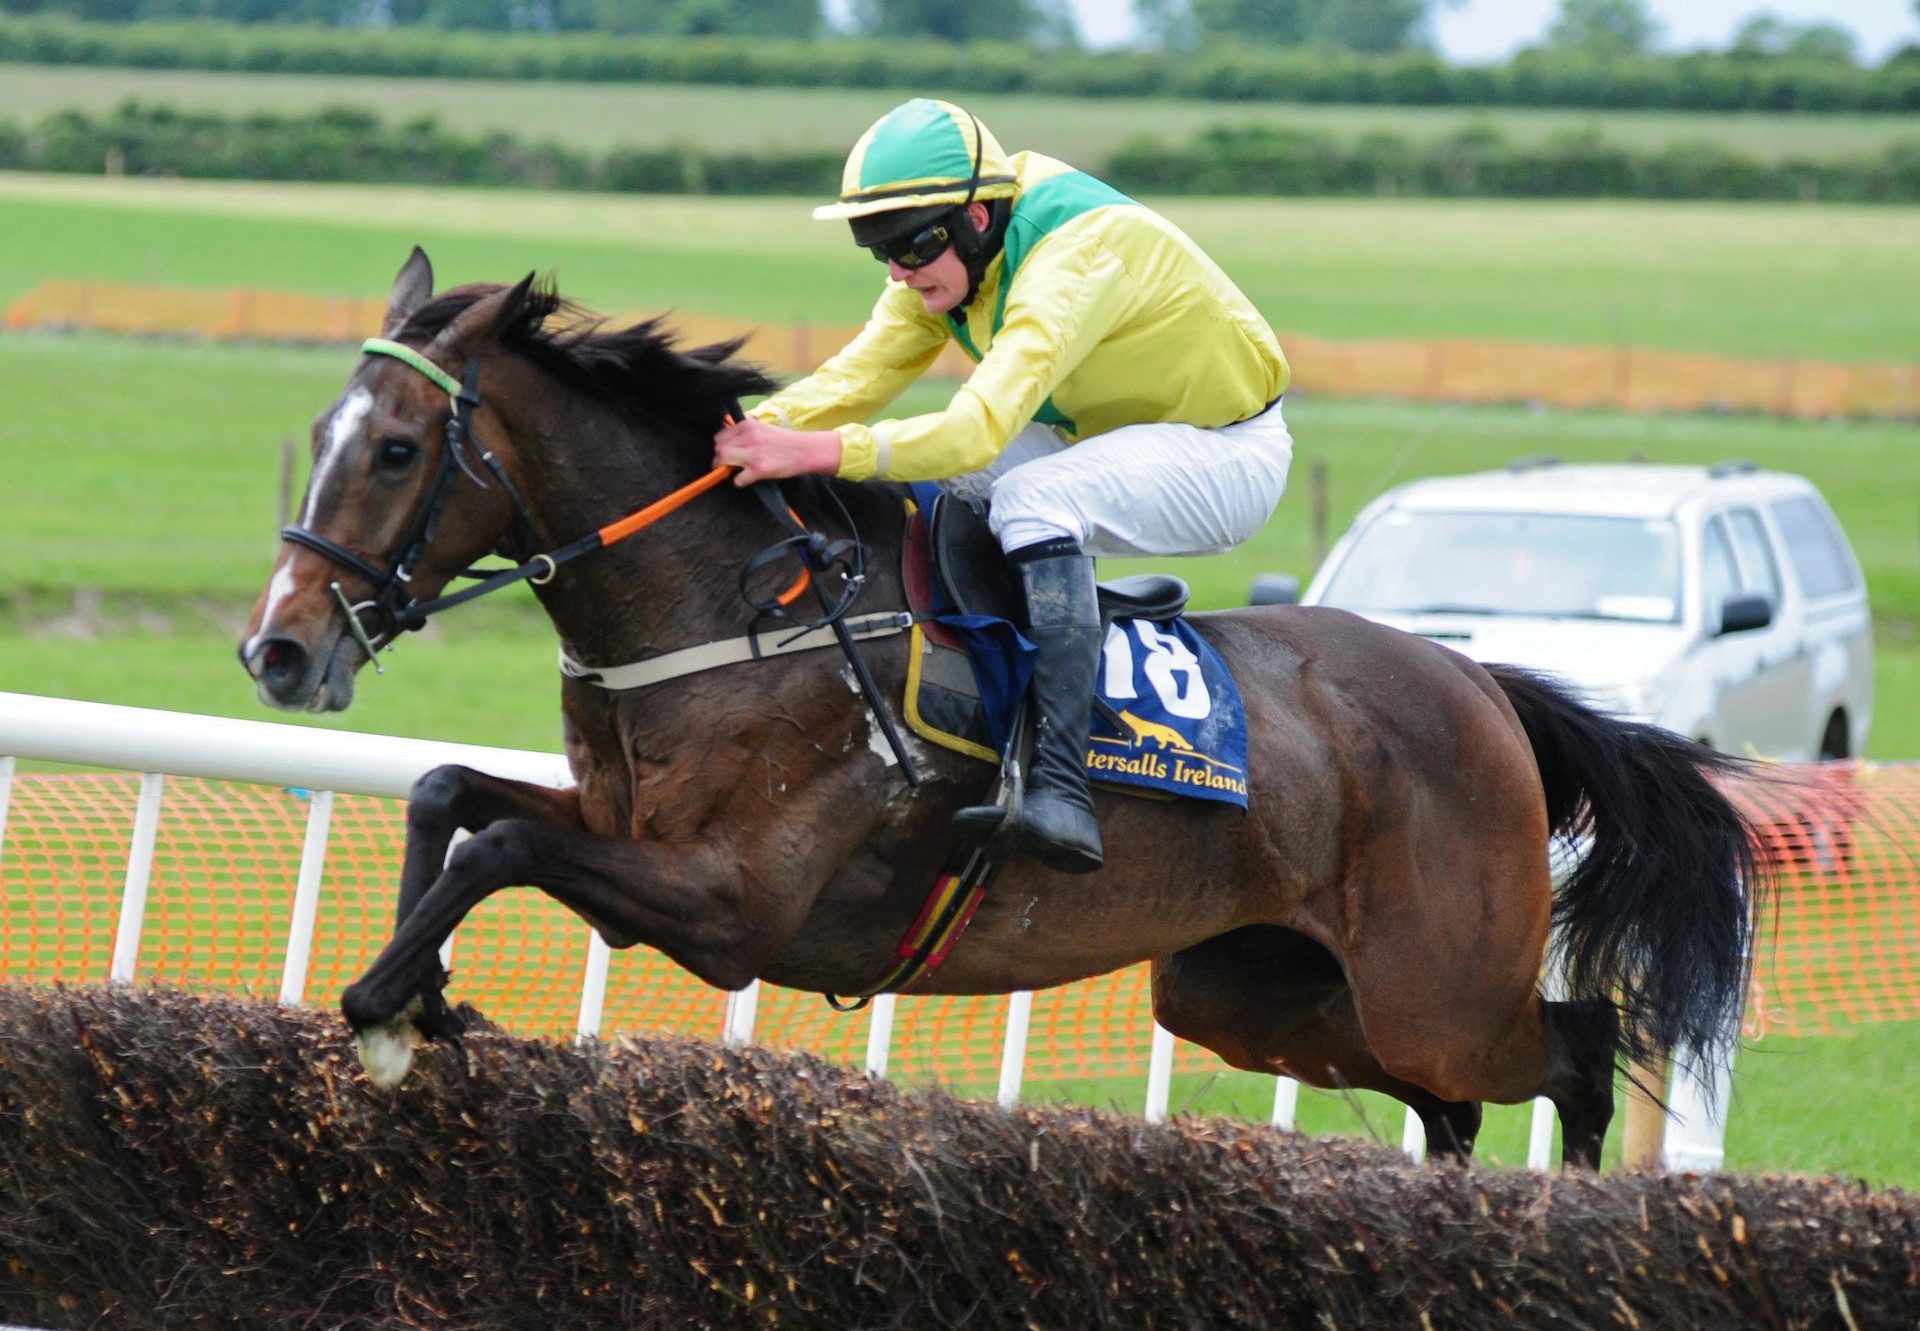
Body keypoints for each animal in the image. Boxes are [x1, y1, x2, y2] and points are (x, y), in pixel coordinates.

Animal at [232, 249, 1758, 1160]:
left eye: (395, 447)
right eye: (318, 435)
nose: (278, 652)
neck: (740, 606)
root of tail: (1481, 683)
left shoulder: (735, 904)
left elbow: (499, 843)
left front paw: (386, 1002)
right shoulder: (626, 828)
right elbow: (451, 798)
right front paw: (419, 995)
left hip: (1437, 978)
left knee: (1576, 1051)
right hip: (1253, 989)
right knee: (1450, 1101)